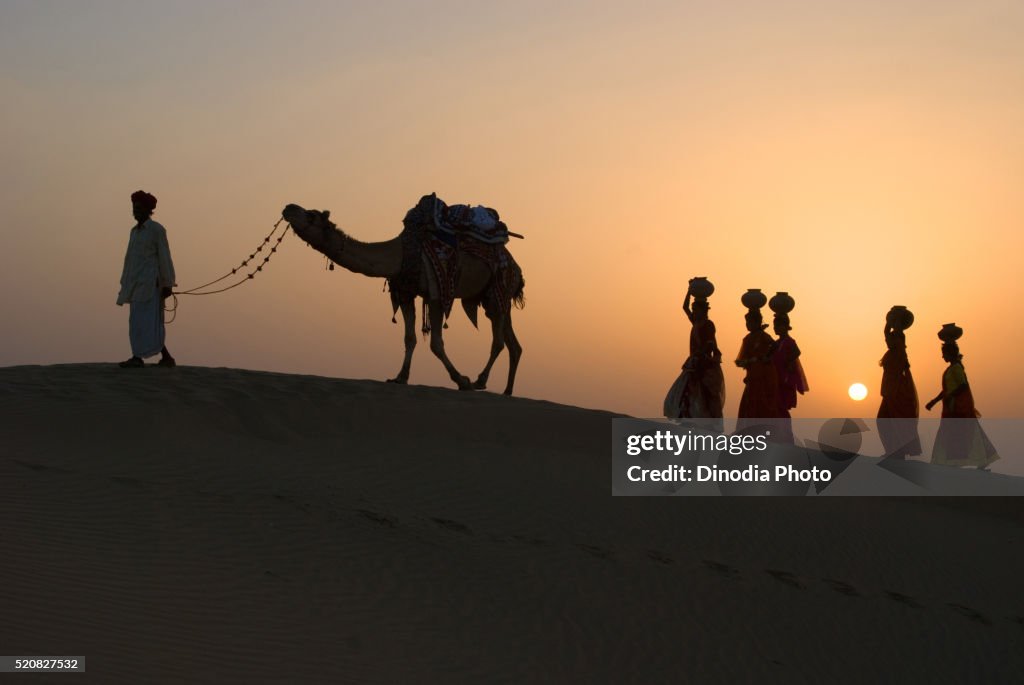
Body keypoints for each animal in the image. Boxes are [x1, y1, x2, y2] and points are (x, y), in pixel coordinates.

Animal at [280, 194, 524, 393]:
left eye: (311, 215)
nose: (288, 207)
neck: (401, 253)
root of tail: (517, 269)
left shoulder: (437, 292)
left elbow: (436, 343)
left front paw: (461, 380)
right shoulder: (406, 292)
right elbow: (409, 338)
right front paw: (400, 377)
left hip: (499, 287)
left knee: (498, 341)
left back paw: (479, 381)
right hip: (494, 297)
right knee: (513, 343)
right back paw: (507, 391)